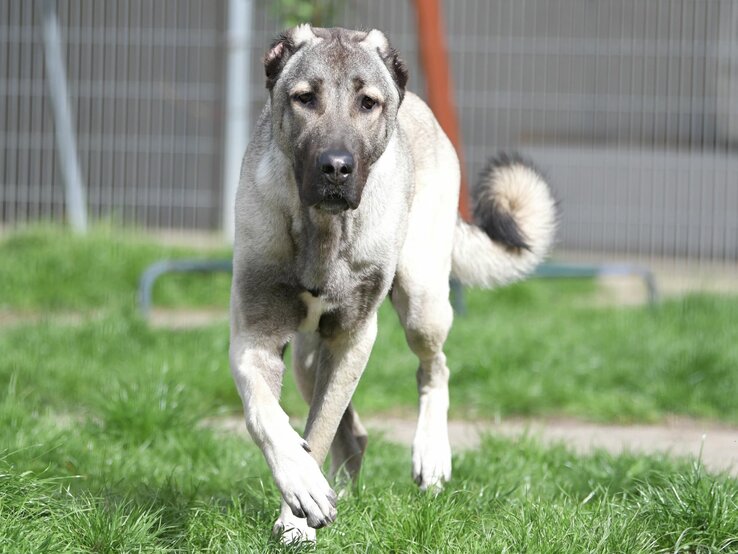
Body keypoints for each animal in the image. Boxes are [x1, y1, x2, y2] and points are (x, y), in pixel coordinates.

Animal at [227, 24, 556, 540]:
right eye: (304, 98)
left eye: (368, 103)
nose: (336, 167)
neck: (324, 229)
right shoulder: (254, 338)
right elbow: (269, 419)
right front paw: (304, 489)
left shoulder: (354, 337)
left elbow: (318, 430)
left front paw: (297, 523)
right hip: (305, 359)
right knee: (351, 433)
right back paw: (337, 487)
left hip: (422, 302)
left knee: (434, 368)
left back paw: (431, 455)